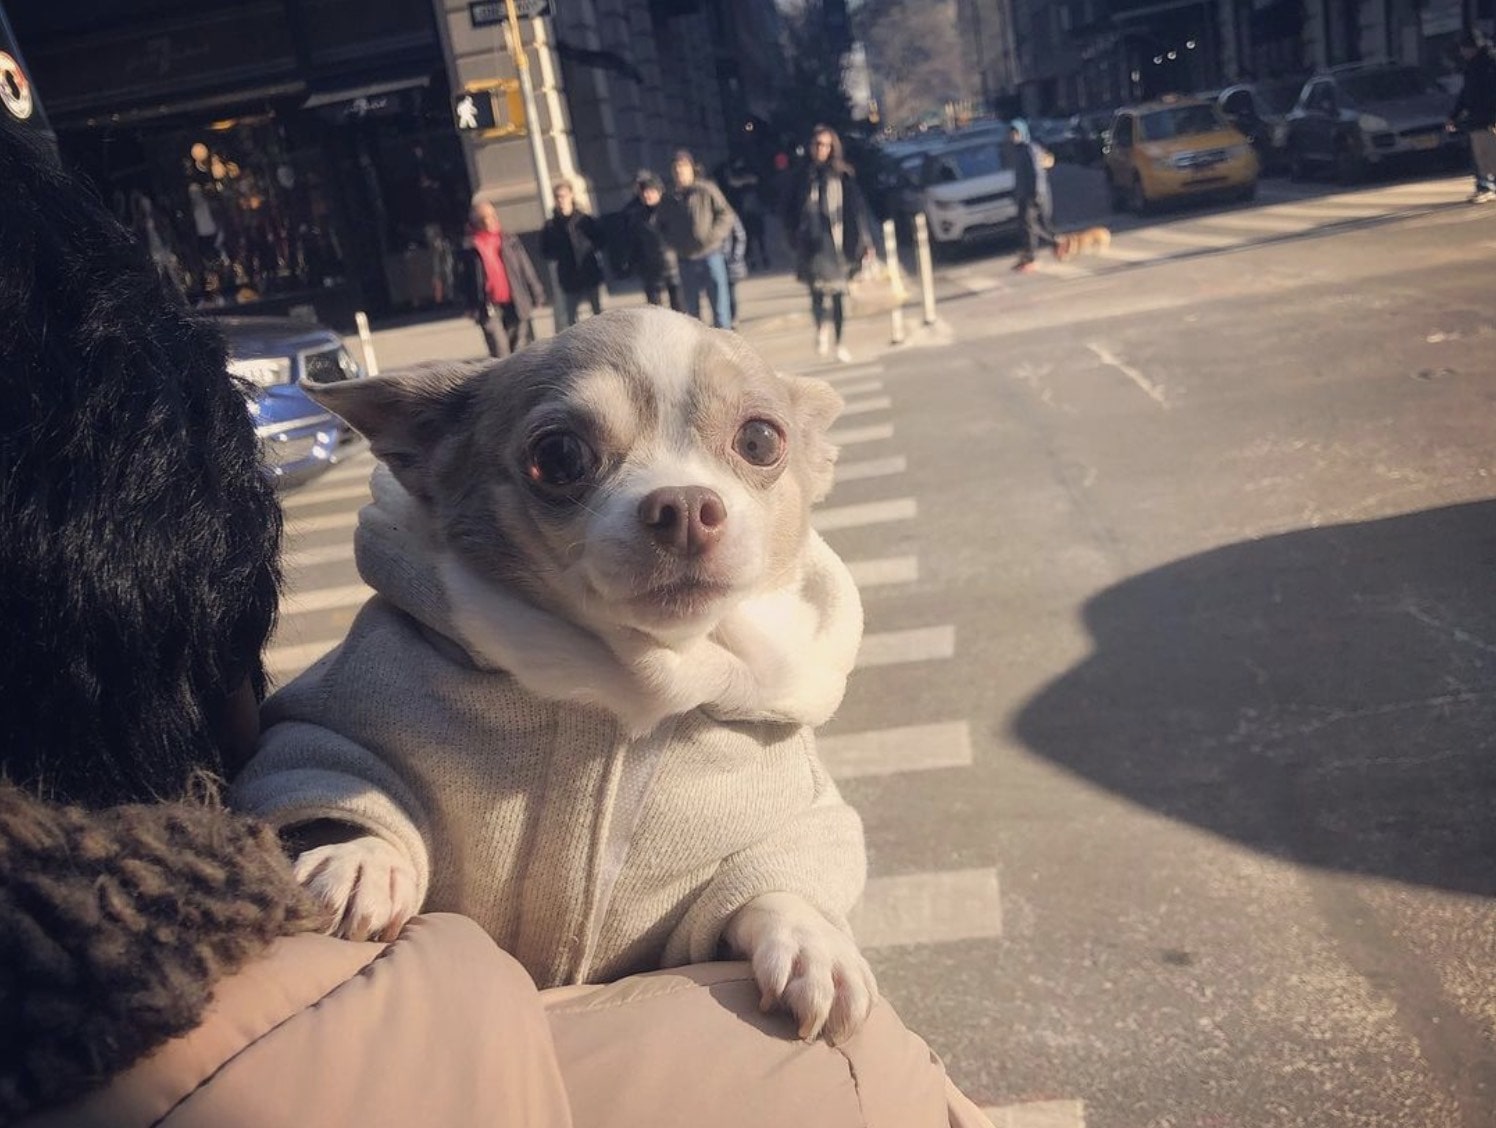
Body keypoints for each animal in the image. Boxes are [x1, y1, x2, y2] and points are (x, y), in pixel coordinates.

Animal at [233, 303, 873, 1041]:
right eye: (559, 457)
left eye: (762, 440)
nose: (685, 505)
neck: (631, 683)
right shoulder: (327, 729)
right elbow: (341, 786)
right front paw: (363, 858)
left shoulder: (794, 822)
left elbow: (772, 885)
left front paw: (812, 943)